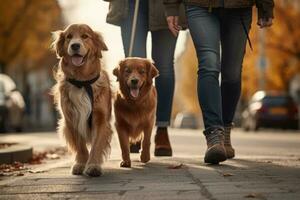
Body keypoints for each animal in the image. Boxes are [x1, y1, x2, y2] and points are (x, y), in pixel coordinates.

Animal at [51, 23, 112, 177]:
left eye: (85, 36)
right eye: (69, 37)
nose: (75, 46)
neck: (82, 81)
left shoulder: (100, 118)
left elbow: (96, 144)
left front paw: (93, 165)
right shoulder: (71, 117)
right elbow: (80, 145)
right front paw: (80, 163)